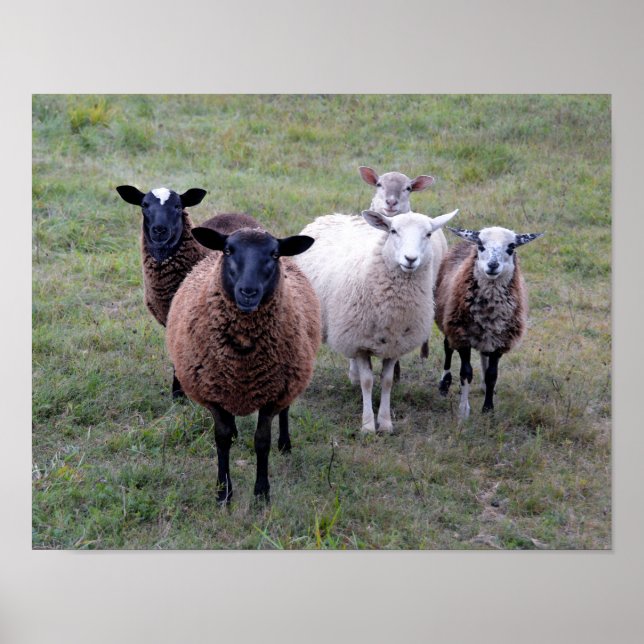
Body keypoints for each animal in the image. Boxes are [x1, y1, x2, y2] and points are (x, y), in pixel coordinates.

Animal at [165, 226, 321, 503]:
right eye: (228, 251)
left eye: (274, 254)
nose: (248, 291)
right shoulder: (213, 393)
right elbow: (222, 438)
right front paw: (223, 492)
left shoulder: (273, 393)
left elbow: (262, 441)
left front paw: (261, 493)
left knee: (285, 411)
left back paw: (285, 444)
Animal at [294, 208, 458, 434]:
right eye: (393, 231)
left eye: (428, 234)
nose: (410, 259)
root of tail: (334, 215)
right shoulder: (360, 342)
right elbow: (367, 382)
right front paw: (368, 425)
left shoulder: (394, 345)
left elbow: (387, 381)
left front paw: (386, 422)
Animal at [434, 226, 544, 418]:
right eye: (480, 245)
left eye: (511, 247)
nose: (493, 265)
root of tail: (465, 242)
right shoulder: (462, 337)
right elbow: (466, 373)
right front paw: (464, 411)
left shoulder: (500, 341)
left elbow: (492, 375)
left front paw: (488, 409)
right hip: (449, 322)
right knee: (448, 348)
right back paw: (444, 384)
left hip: (486, 337)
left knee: (484, 356)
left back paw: (485, 388)